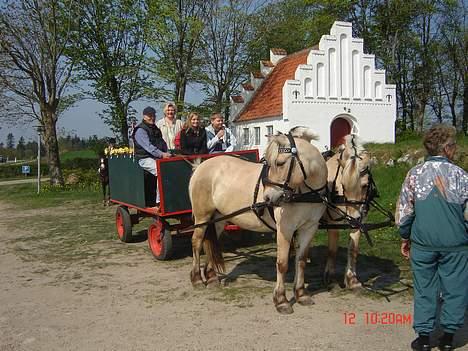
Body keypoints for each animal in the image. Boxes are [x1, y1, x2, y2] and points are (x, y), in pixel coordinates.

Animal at [188, 126, 328, 314]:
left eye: (280, 163)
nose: (267, 198)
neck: (304, 193)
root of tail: (201, 166)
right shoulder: (285, 229)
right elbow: (282, 263)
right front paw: (281, 300)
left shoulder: (309, 228)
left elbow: (301, 260)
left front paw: (301, 294)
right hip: (202, 217)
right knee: (196, 242)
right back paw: (196, 279)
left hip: (218, 219)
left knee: (210, 241)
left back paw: (211, 278)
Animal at [322, 135, 372, 288]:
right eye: (343, 185)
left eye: (365, 185)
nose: (353, 219)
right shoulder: (332, 221)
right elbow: (332, 249)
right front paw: (330, 276)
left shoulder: (361, 218)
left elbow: (353, 248)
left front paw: (351, 279)